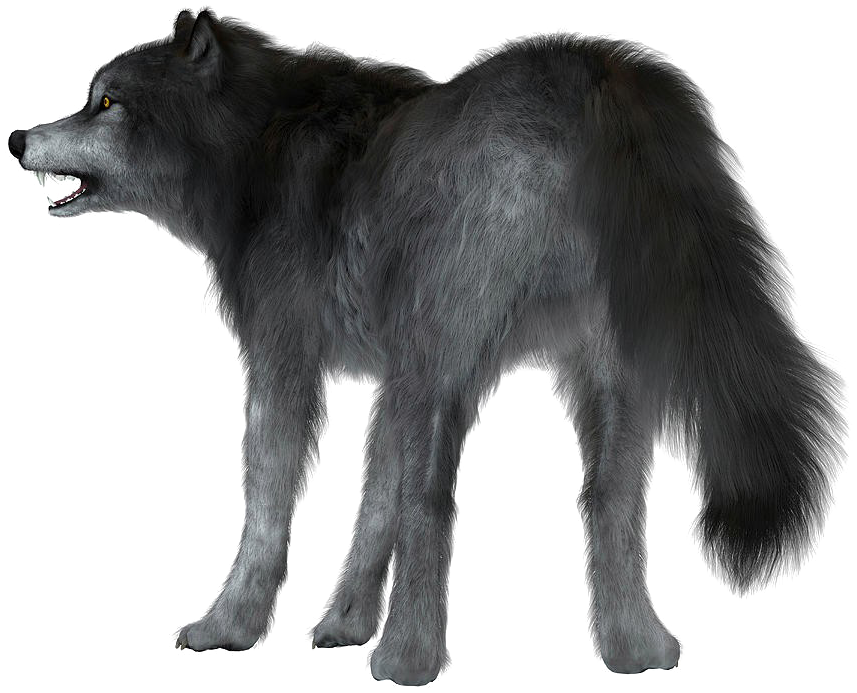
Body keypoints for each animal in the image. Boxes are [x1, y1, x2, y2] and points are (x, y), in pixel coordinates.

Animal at [7, 8, 853, 684]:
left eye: (105, 102)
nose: (16, 135)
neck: (255, 145)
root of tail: (594, 68)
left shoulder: (289, 364)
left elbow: (274, 507)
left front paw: (230, 628)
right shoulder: (390, 381)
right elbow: (373, 503)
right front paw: (341, 623)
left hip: (444, 363)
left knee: (436, 502)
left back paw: (406, 660)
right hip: (598, 378)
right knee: (610, 503)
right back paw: (637, 650)